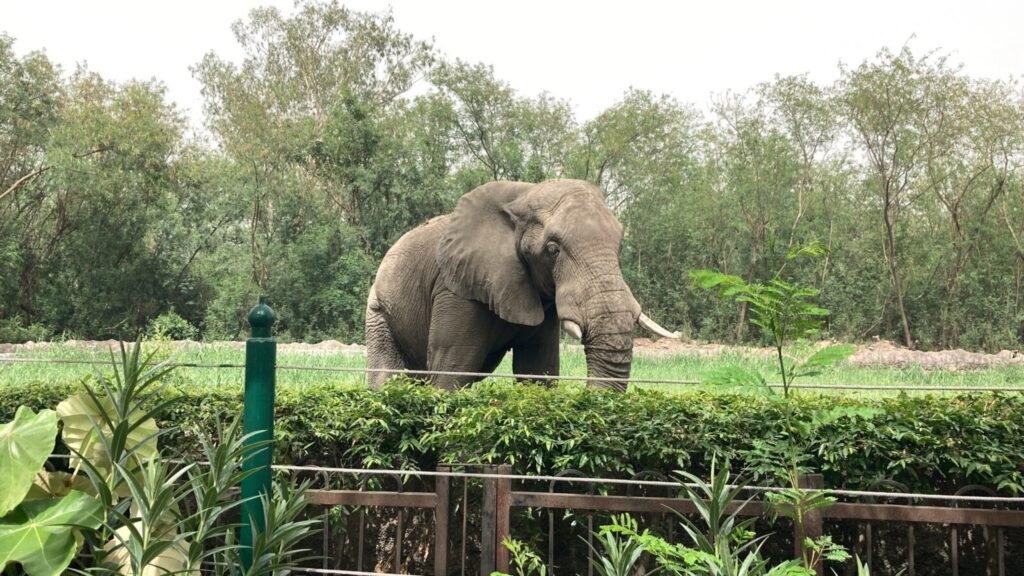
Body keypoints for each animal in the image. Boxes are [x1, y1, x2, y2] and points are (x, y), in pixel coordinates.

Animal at [364, 178, 679, 390]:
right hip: (378, 310)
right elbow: (452, 370)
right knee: (387, 377)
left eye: (620, 245)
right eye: (553, 250)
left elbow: (537, 371)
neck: (524, 195)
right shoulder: (455, 289)